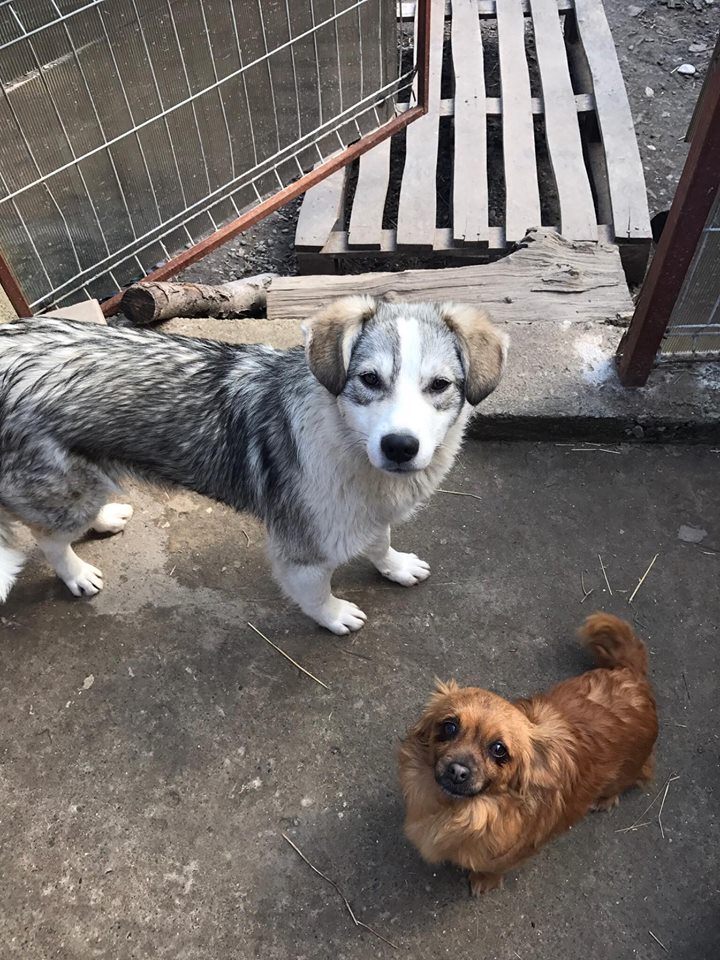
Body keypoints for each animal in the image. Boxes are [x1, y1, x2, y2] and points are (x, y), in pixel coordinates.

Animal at [0, 296, 506, 632]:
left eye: (439, 385)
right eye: (369, 379)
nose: (400, 446)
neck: (347, 439)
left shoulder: (364, 511)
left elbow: (380, 542)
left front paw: (395, 566)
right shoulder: (302, 548)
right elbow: (316, 592)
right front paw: (335, 615)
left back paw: (105, 517)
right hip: (62, 488)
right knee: (47, 539)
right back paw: (77, 574)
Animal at [400, 616, 660, 892]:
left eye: (499, 750)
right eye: (449, 727)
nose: (458, 771)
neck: (461, 810)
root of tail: (630, 676)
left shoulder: (513, 853)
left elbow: (494, 867)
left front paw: (484, 880)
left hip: (627, 772)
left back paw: (605, 799)